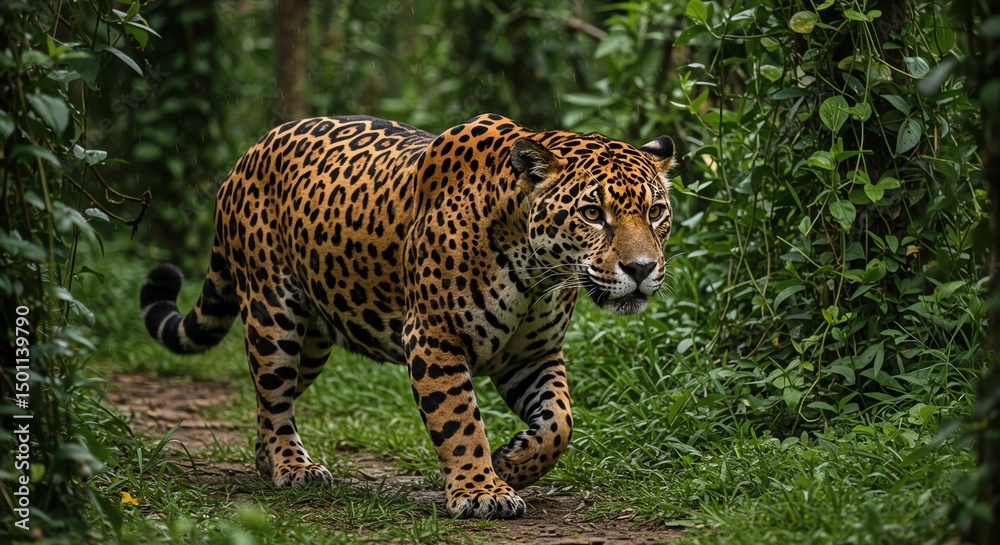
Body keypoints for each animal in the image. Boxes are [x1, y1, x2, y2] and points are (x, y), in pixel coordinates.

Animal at [139, 113, 675, 519]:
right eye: (592, 213)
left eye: (656, 212)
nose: (641, 268)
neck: (536, 272)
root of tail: (250, 151)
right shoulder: (435, 338)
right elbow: (460, 423)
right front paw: (481, 491)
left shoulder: (533, 354)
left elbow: (560, 422)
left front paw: (510, 463)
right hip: (274, 314)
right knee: (273, 397)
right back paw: (293, 466)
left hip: (313, 341)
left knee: (273, 396)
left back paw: (267, 461)